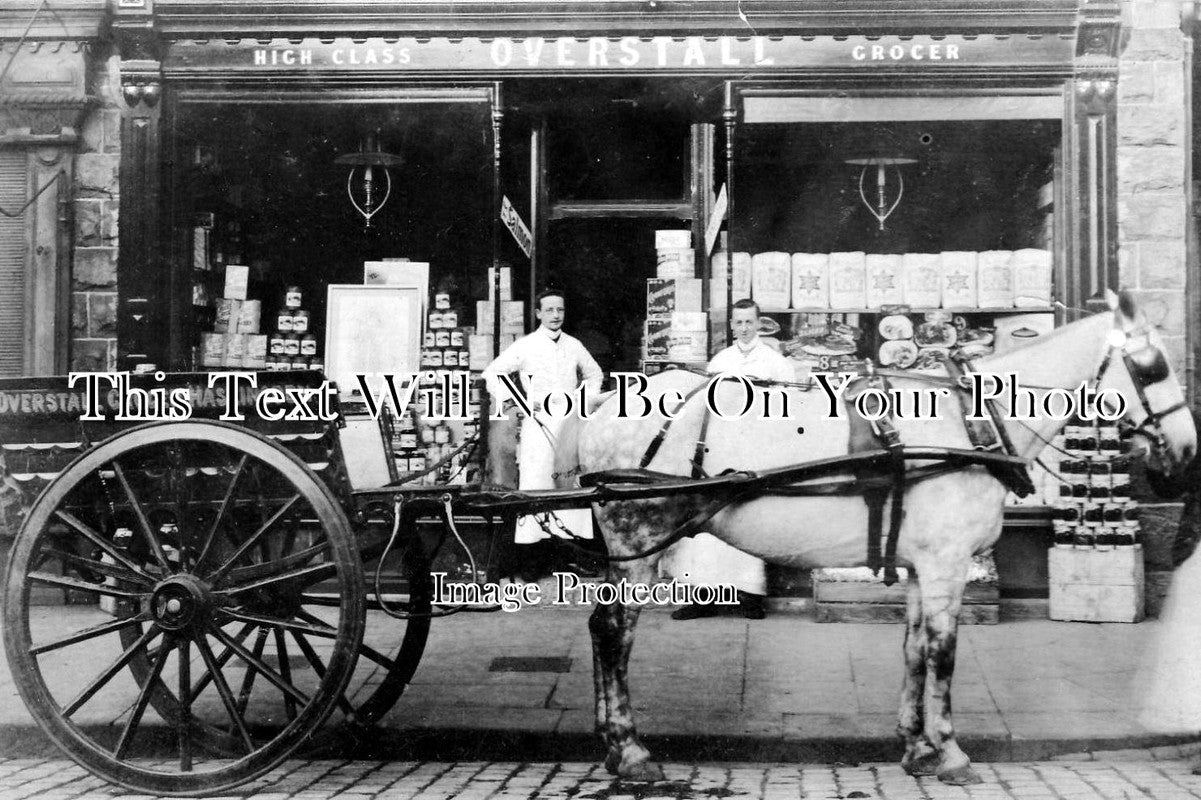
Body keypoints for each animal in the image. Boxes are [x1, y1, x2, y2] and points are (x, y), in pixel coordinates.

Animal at [569, 289, 1191, 783]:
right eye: (1152, 366)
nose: (1185, 452)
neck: (973, 422)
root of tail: (602, 403)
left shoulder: (923, 566)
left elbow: (914, 650)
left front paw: (917, 747)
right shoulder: (946, 565)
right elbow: (943, 653)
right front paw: (951, 751)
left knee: (601, 627)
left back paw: (610, 742)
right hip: (638, 539)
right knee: (615, 633)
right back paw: (630, 750)